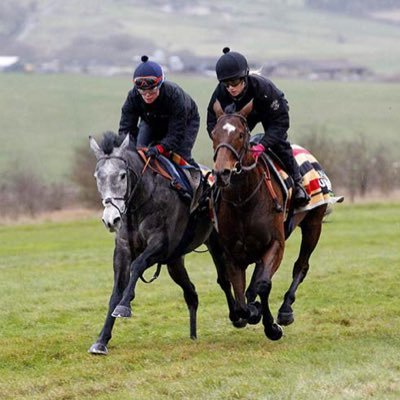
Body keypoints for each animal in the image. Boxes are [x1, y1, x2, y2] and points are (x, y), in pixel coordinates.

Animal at [86, 133, 233, 354]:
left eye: (122, 175)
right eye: (97, 177)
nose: (111, 220)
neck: (140, 201)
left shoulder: (160, 244)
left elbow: (137, 265)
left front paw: (125, 306)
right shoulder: (123, 249)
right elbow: (116, 291)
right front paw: (102, 340)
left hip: (215, 244)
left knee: (224, 279)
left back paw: (240, 314)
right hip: (175, 262)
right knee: (191, 293)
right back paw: (193, 335)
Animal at [211, 101, 340, 340]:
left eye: (240, 134)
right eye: (214, 133)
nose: (222, 172)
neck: (244, 201)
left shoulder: (275, 244)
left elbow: (262, 285)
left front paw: (272, 327)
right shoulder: (232, 254)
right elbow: (241, 299)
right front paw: (250, 312)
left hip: (313, 224)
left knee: (301, 266)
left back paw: (286, 309)